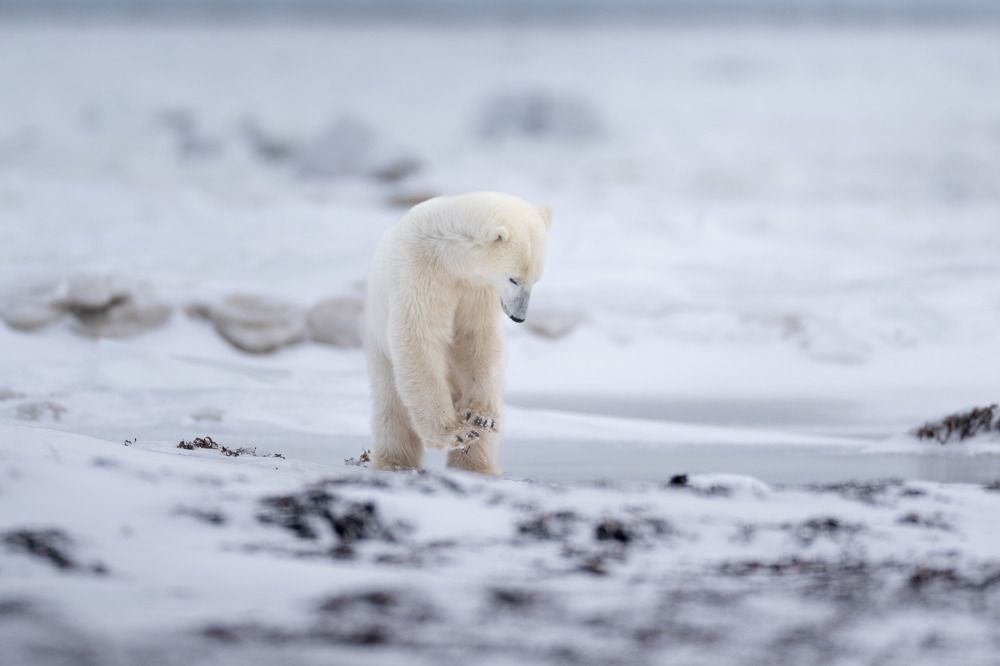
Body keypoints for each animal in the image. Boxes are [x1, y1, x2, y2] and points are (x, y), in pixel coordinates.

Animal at [364, 192, 553, 475]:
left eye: (536, 280)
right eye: (513, 279)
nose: (519, 317)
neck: (447, 255)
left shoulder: (477, 289)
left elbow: (478, 340)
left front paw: (480, 417)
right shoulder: (420, 276)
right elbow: (418, 341)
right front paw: (456, 433)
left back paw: (477, 466)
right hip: (380, 352)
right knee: (392, 407)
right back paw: (393, 462)